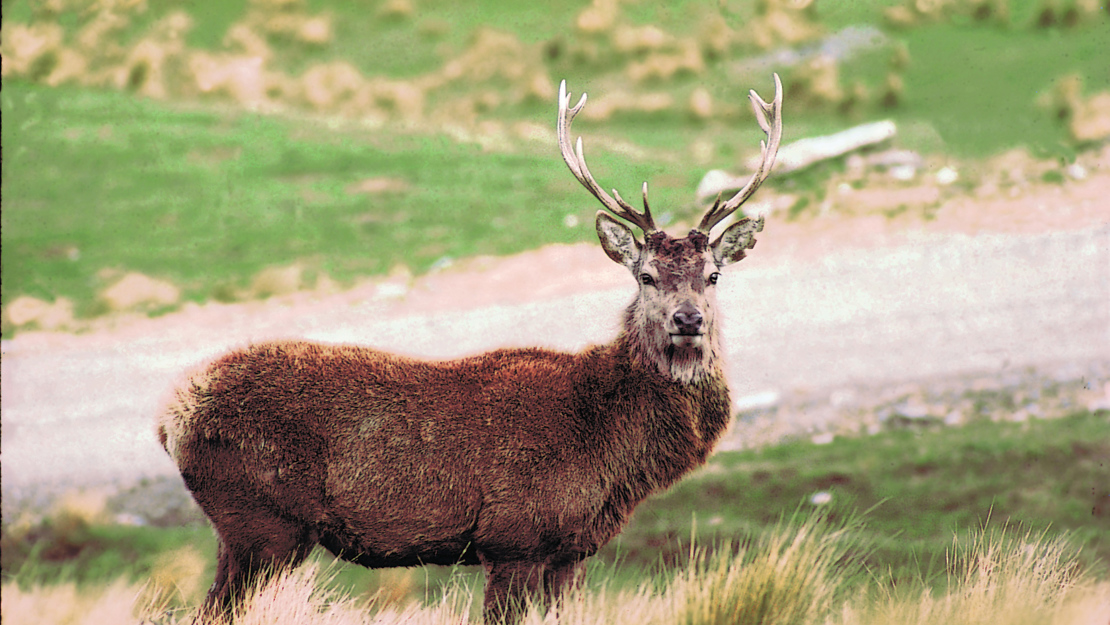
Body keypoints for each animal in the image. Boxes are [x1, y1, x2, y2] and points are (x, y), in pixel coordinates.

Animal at [156, 73, 785, 621]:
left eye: (714, 275)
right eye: (647, 276)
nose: (688, 319)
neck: (609, 448)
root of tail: (171, 417)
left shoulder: (571, 552)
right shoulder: (513, 538)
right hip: (261, 523)